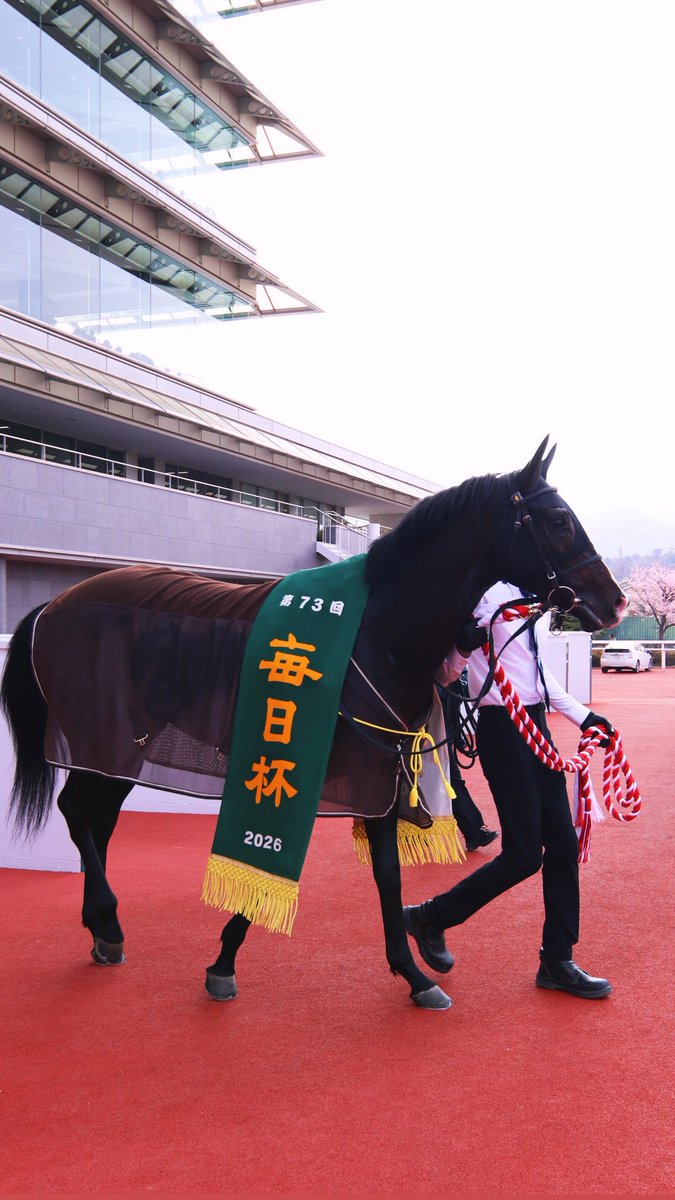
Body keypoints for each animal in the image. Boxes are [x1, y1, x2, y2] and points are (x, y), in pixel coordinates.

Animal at [1, 438, 627, 1010]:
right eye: (558, 519)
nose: (615, 601)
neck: (376, 632)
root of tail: (52, 606)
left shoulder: (382, 767)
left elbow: (388, 873)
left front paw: (412, 972)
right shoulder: (318, 762)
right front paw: (225, 960)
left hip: (121, 743)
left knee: (96, 818)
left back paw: (102, 928)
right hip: (103, 734)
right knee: (77, 811)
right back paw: (106, 920)